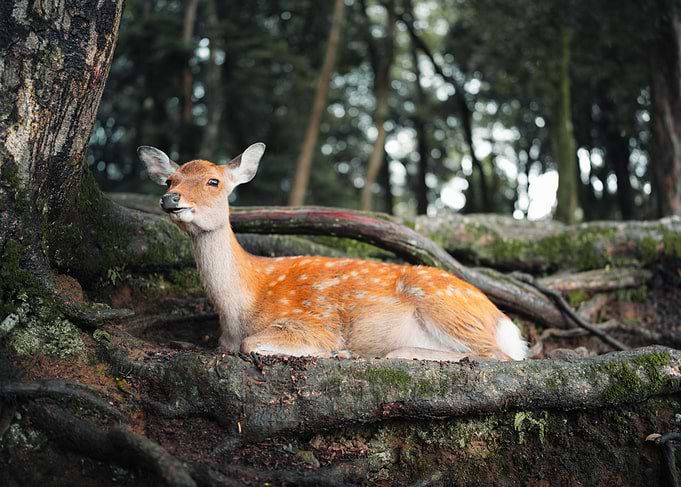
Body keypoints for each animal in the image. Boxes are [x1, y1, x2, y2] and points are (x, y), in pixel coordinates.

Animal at [138, 143, 528, 361]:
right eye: (169, 180)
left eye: (214, 181)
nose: (170, 199)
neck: (240, 308)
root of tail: (504, 321)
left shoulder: (312, 321)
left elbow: (253, 344)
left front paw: (330, 349)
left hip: (445, 306)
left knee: (501, 356)